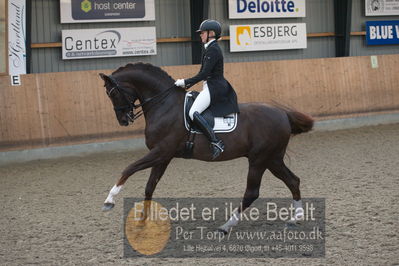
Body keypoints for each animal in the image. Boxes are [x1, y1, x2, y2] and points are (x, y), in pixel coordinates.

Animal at [98, 62, 314, 233]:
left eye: (113, 93)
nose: (124, 120)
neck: (165, 105)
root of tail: (283, 114)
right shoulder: (163, 156)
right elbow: (149, 187)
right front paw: (142, 222)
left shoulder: (161, 151)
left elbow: (129, 169)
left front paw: (109, 200)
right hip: (272, 159)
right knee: (293, 181)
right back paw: (294, 219)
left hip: (259, 160)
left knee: (252, 192)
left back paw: (226, 226)